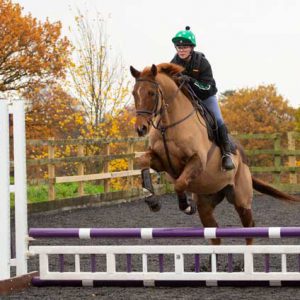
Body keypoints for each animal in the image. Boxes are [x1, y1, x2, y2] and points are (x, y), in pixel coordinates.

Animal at [129, 62, 300, 245]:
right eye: (134, 93)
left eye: (152, 93)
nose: (141, 128)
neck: (168, 125)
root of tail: (244, 161)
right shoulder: (162, 161)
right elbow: (143, 161)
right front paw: (152, 199)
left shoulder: (197, 161)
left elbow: (180, 184)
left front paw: (186, 205)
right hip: (207, 202)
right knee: (214, 232)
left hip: (241, 199)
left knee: (249, 227)